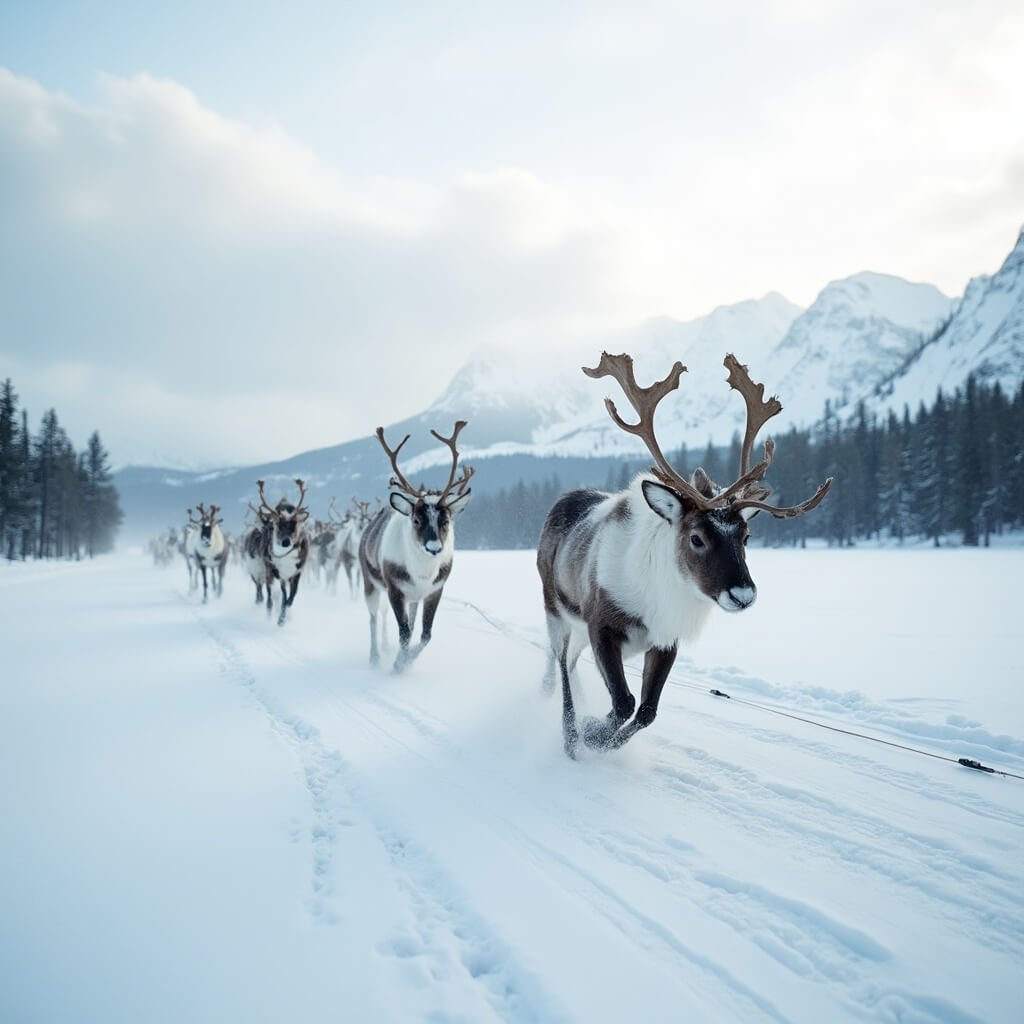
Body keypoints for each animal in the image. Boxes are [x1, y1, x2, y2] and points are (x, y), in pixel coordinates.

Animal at [359, 421, 473, 672]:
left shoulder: (434, 590)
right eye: (416, 520)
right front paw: (397, 665)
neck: (422, 574)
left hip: (413, 599)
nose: (434, 547)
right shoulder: (395, 589)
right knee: (372, 617)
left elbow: (424, 634)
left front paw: (406, 661)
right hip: (369, 581)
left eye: (446, 520)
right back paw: (374, 657)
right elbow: (403, 632)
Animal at [537, 352, 832, 759]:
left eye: (747, 535)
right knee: (560, 662)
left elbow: (646, 711)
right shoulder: (601, 624)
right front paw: (590, 732)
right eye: (696, 538)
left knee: (572, 663)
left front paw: (599, 734)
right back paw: (568, 732)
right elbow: (625, 702)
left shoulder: (665, 641)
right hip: (557, 608)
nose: (743, 595)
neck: (659, 595)